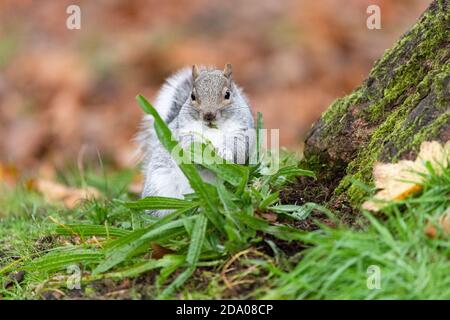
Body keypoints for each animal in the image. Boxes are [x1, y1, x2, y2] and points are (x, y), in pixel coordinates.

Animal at [137, 64, 255, 216]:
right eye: (192, 96)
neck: (212, 129)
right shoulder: (184, 132)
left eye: (227, 94)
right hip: (158, 187)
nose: (209, 115)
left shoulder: (242, 132)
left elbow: (239, 148)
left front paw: (224, 152)